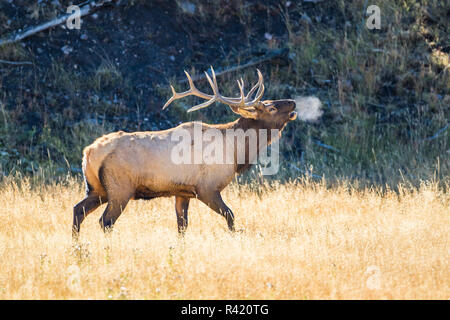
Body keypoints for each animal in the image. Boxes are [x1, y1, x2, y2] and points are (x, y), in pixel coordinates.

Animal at [72, 67, 298, 238]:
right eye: (271, 108)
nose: (293, 101)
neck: (236, 153)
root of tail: (88, 153)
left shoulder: (182, 192)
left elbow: (182, 227)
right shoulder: (207, 188)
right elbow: (230, 216)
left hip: (97, 189)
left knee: (77, 211)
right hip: (120, 188)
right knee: (105, 221)